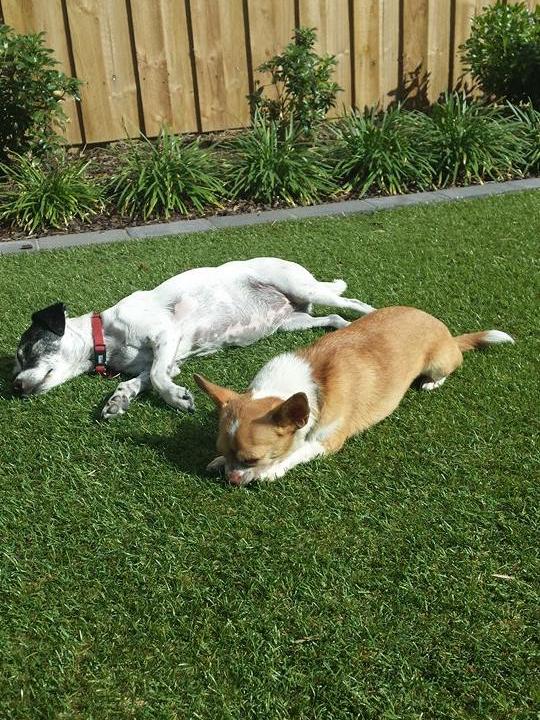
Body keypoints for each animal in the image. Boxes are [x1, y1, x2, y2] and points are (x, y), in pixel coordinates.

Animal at [13, 258, 376, 416]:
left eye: (27, 351)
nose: (15, 387)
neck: (107, 338)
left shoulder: (165, 334)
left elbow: (159, 378)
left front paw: (177, 398)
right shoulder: (165, 360)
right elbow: (140, 379)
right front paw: (118, 400)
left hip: (302, 287)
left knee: (354, 303)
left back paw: (375, 315)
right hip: (291, 322)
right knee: (333, 317)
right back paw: (344, 328)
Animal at [193, 306, 510, 486]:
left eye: (253, 460)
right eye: (223, 450)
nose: (232, 480)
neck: (309, 384)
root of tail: (450, 336)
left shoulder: (327, 442)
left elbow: (298, 452)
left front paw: (273, 470)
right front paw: (218, 463)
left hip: (439, 362)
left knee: (449, 368)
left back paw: (433, 383)